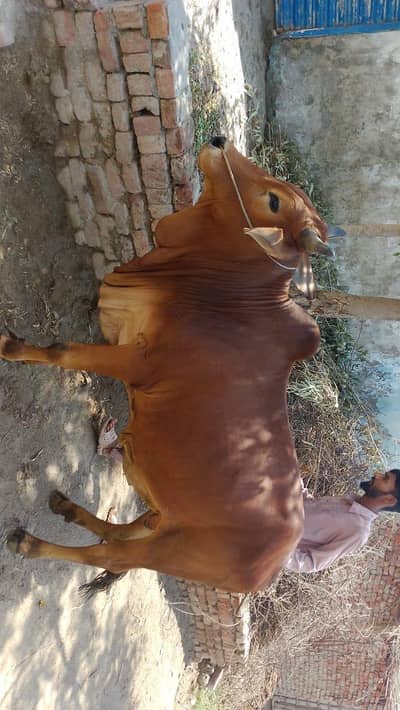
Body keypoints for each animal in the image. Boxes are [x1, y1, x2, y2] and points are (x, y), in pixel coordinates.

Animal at [1, 138, 333, 593]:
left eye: (273, 200)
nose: (218, 141)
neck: (222, 293)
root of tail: (272, 569)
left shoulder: (137, 362)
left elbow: (60, 350)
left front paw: (9, 346)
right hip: (162, 516)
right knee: (122, 533)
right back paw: (69, 509)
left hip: (169, 551)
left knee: (110, 554)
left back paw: (31, 543)